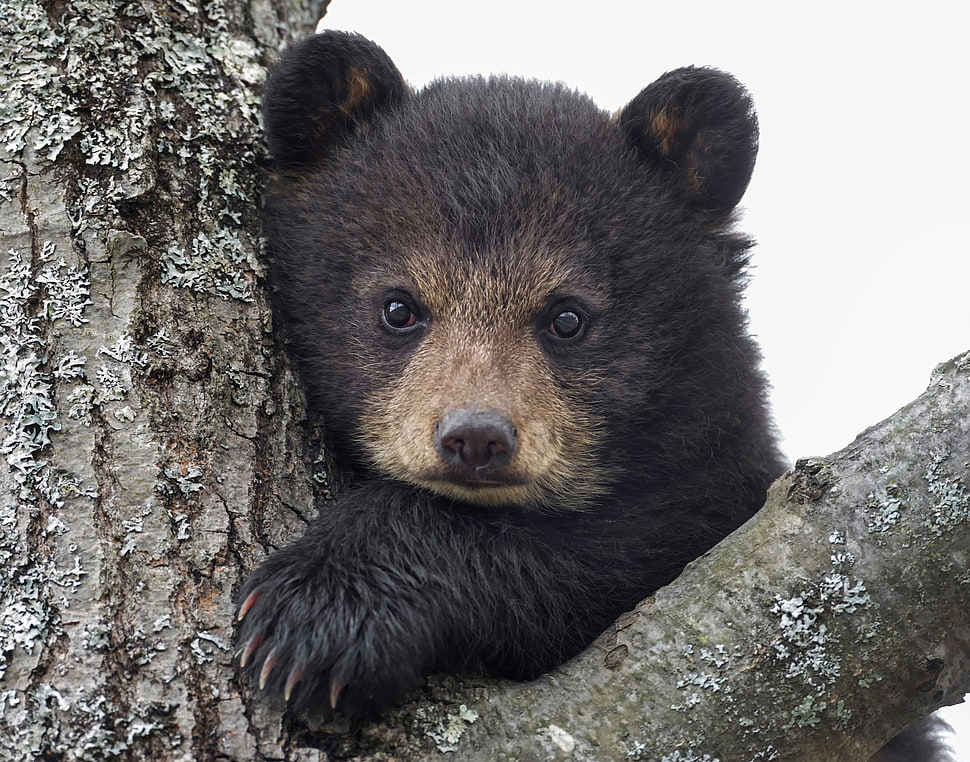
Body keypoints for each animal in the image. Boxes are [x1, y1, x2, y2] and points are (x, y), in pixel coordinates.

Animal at [236, 30, 951, 759]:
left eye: (567, 317)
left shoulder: (713, 493)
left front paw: (317, 613)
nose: (476, 436)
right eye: (398, 307)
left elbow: (615, 551)